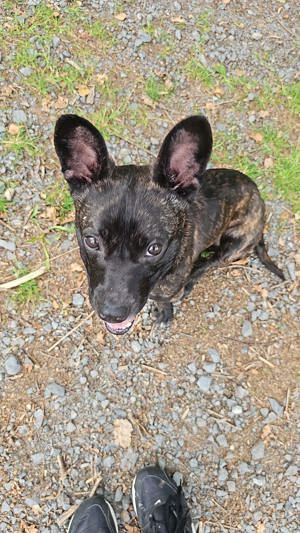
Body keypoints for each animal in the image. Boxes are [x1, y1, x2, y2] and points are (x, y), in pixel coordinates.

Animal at [53, 114, 284, 334]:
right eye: (91, 241)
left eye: (155, 249)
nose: (112, 314)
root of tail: (260, 205)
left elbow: (164, 300)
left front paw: (165, 312)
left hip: (235, 245)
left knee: (211, 261)